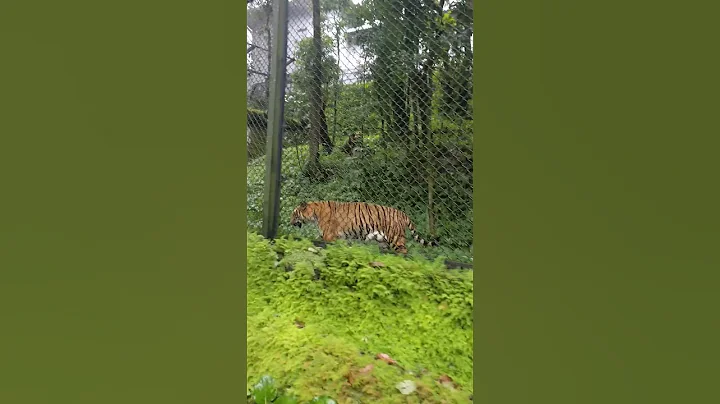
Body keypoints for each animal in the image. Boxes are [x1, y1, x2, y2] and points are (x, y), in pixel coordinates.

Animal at [290, 201, 438, 254]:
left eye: (294, 214)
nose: (290, 222)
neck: (315, 213)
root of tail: (402, 213)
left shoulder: (328, 235)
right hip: (383, 241)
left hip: (396, 238)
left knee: (404, 251)